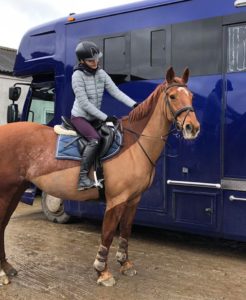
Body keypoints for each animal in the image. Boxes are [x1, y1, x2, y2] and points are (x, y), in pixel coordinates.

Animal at [0, 67, 200, 288]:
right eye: (172, 96)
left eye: (190, 96)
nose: (192, 127)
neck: (133, 145)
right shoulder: (116, 199)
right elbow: (108, 233)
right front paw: (102, 272)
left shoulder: (133, 200)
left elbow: (126, 231)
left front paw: (125, 264)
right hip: (5, 192)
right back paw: (2, 273)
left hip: (16, 190)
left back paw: (7, 267)